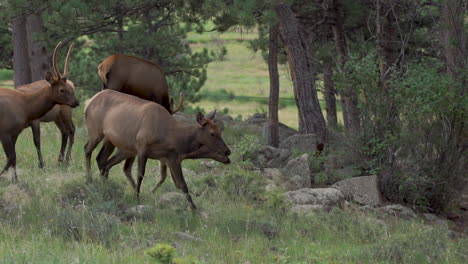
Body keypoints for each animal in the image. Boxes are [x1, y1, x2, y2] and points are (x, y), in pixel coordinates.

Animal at [0, 41, 79, 182]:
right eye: (62, 90)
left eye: (70, 90)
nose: (77, 102)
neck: (27, 107)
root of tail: (72, 81)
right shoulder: (12, 130)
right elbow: (17, 153)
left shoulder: (27, 124)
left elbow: (32, 143)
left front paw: (40, 165)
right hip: (59, 116)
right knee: (65, 131)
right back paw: (61, 160)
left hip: (65, 111)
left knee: (71, 130)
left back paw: (66, 160)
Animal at [84, 89, 230, 209]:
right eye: (212, 133)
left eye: (220, 131)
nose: (228, 151)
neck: (172, 136)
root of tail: (88, 102)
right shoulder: (142, 146)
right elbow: (140, 174)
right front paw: (137, 198)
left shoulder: (171, 158)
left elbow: (181, 184)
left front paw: (195, 211)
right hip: (96, 131)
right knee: (88, 150)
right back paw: (89, 179)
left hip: (114, 142)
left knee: (104, 160)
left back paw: (105, 185)